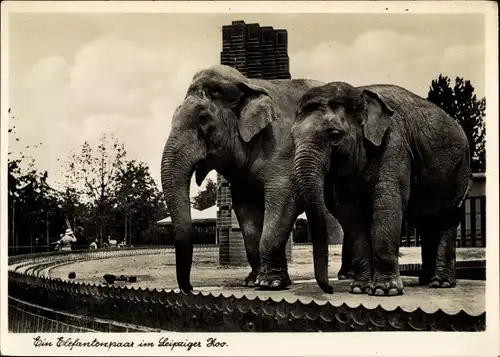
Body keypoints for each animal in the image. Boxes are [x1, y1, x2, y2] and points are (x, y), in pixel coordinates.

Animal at [292, 81, 470, 294]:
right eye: (292, 138)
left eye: (334, 135)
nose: (330, 289)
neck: (358, 92)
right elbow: (351, 214)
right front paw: (359, 289)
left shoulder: (394, 144)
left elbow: (387, 205)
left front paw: (385, 291)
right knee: (426, 221)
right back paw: (425, 280)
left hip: (459, 172)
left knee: (447, 218)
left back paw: (441, 283)